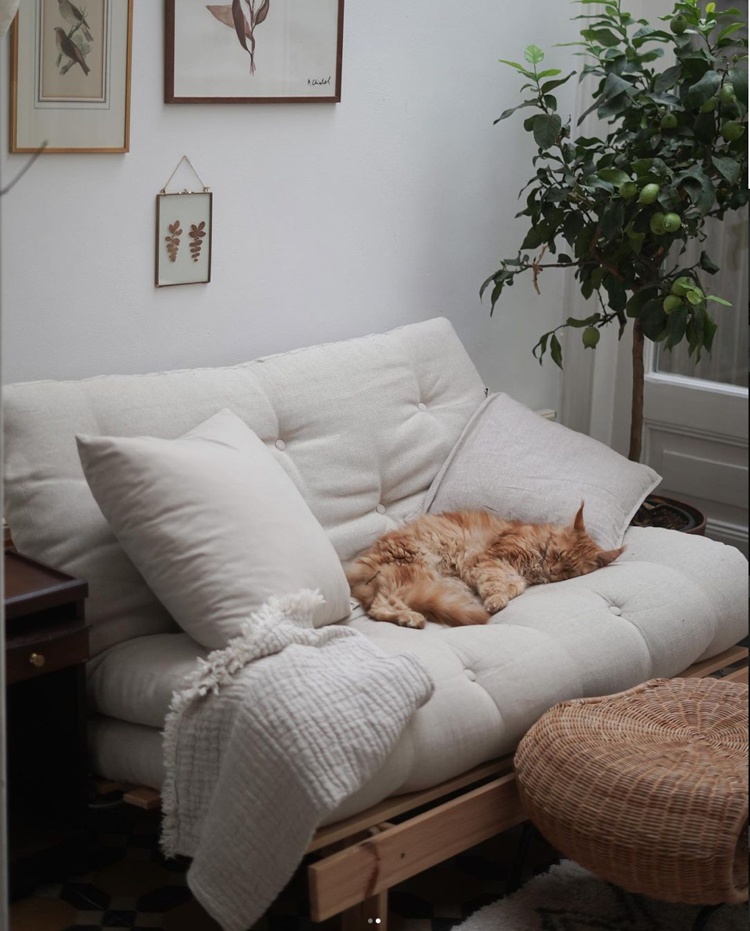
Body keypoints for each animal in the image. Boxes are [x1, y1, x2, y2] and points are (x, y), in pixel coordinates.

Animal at [350, 506, 624, 628]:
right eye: (557, 554)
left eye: (570, 570)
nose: (554, 571)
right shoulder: (490, 559)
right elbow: (494, 583)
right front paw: (494, 600)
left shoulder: (512, 574)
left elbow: (513, 586)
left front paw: (502, 596)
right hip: (414, 570)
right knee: (380, 606)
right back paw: (412, 618)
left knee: (381, 605)